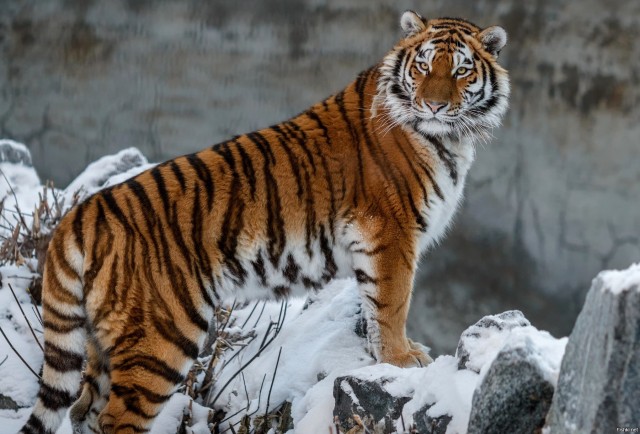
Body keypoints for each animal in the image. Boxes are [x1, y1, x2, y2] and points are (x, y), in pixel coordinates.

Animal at [18, 11, 510, 434]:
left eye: (461, 72)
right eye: (424, 66)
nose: (433, 106)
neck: (449, 138)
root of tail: (81, 213)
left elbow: (374, 305)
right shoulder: (391, 232)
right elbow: (391, 303)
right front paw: (401, 360)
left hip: (100, 343)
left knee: (82, 409)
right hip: (161, 337)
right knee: (117, 418)